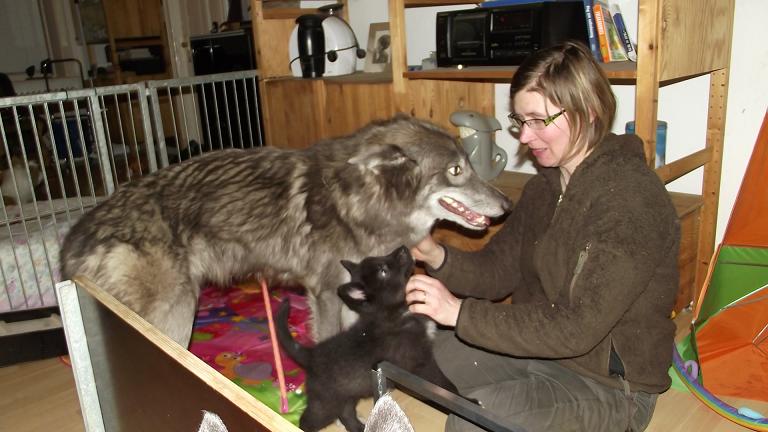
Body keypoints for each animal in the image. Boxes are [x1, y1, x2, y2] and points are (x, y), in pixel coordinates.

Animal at [276, 246, 456, 432]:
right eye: (383, 271)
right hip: (325, 403)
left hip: (347, 395)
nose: (403, 248)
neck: (393, 313)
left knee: (346, 414)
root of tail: (311, 355)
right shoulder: (421, 363)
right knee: (307, 421)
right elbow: (441, 383)